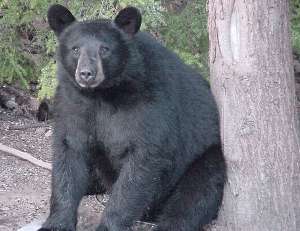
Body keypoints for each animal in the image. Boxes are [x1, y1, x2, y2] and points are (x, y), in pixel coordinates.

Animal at [40, 4, 227, 231]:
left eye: (104, 49)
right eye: (75, 49)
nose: (86, 73)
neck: (103, 94)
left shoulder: (150, 107)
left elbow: (140, 164)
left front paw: (108, 225)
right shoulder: (72, 104)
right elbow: (69, 155)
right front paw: (56, 223)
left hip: (206, 157)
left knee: (193, 196)